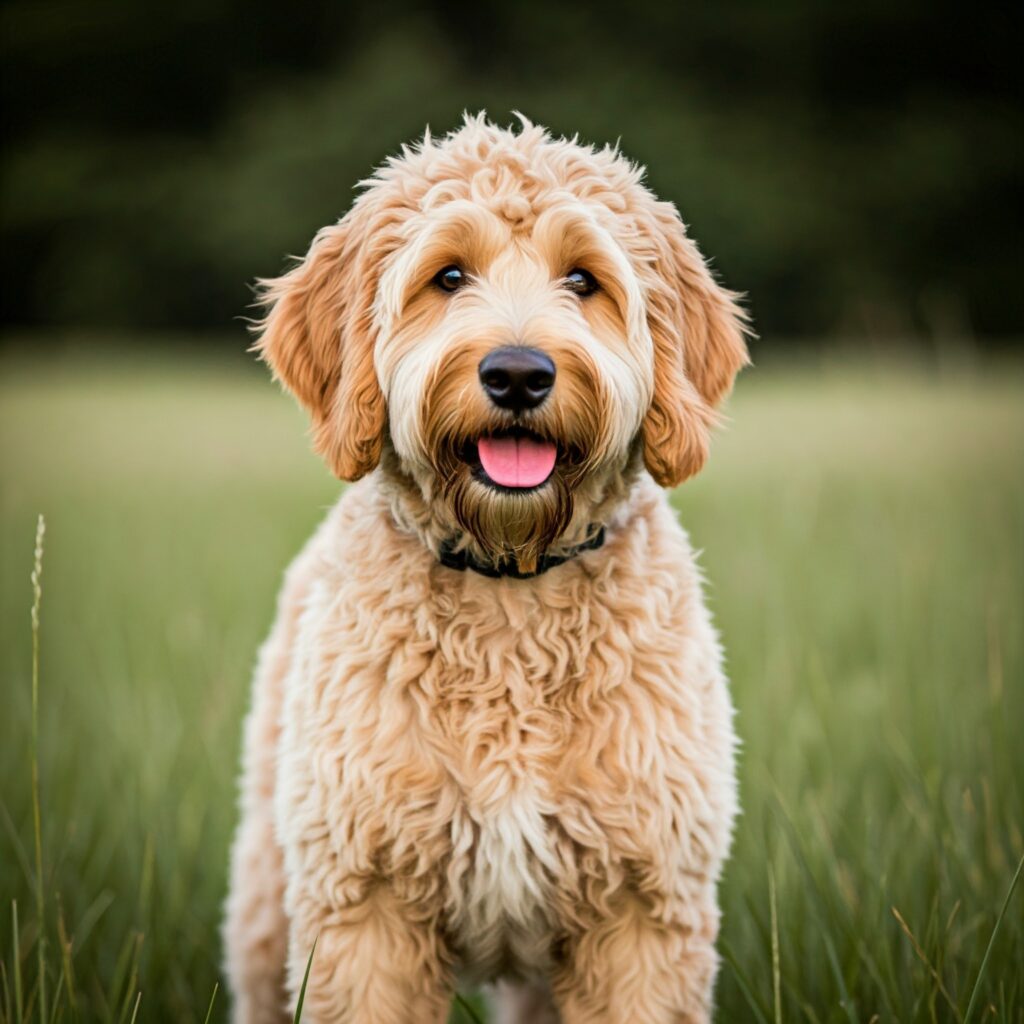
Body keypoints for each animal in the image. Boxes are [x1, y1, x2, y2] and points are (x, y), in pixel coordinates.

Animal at [224, 114, 749, 1024]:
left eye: (584, 279)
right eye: (448, 276)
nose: (517, 374)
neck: (512, 586)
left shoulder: (643, 909)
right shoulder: (365, 907)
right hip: (268, 892)